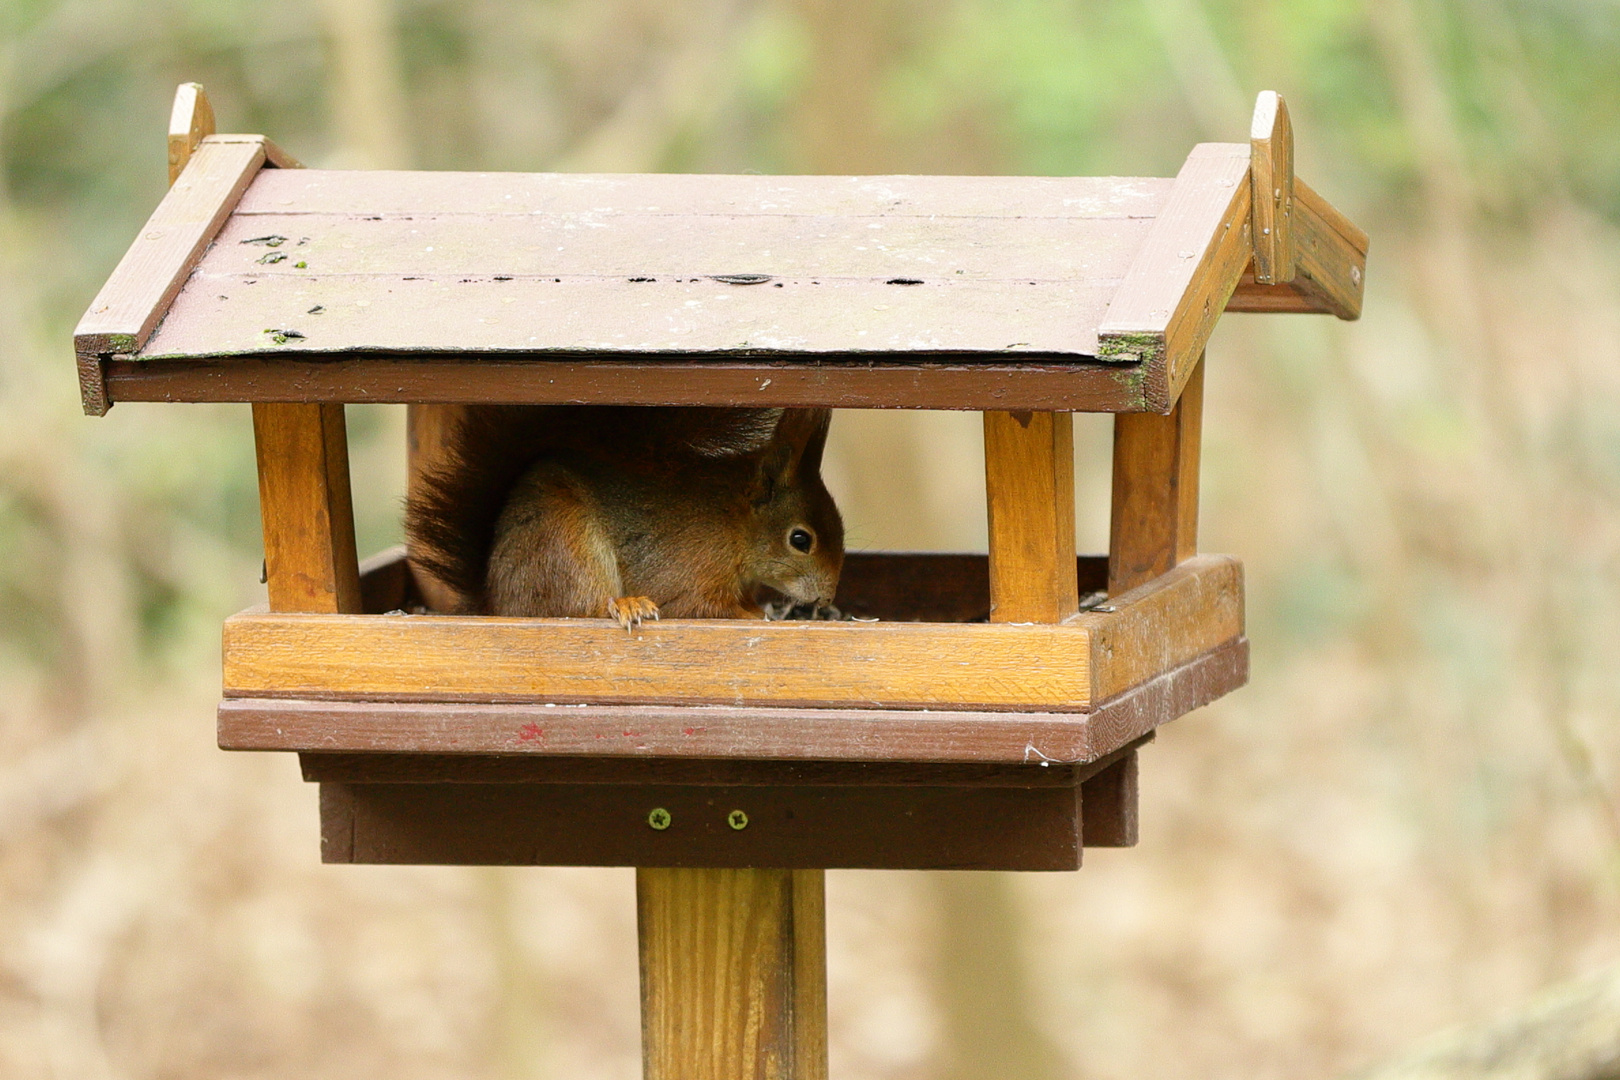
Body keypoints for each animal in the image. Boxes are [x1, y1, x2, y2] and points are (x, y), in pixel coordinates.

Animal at [405, 404, 848, 625]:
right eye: (800, 539)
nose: (827, 597)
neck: (734, 524)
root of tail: (494, 601)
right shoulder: (690, 567)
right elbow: (696, 606)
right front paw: (755, 615)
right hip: (564, 547)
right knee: (579, 606)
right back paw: (627, 606)